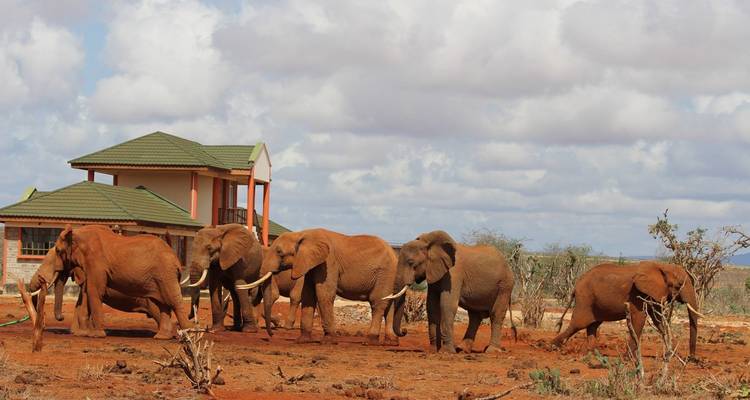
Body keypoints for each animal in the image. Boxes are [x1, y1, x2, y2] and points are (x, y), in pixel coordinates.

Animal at [39, 224, 191, 339]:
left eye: (58, 251)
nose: (61, 317)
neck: (78, 233)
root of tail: (175, 256)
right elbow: (88, 292)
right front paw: (83, 334)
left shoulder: (96, 263)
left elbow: (94, 291)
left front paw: (96, 336)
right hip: (159, 277)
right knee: (163, 304)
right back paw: (161, 337)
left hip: (166, 273)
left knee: (174, 302)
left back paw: (188, 335)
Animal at [239, 229, 401, 345]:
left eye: (279, 252)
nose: (271, 335)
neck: (302, 234)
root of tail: (394, 253)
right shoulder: (310, 264)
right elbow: (308, 295)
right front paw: (302, 341)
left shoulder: (328, 263)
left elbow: (323, 294)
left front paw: (328, 340)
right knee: (389, 304)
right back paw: (391, 342)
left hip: (385, 273)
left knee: (378, 302)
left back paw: (370, 341)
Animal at [551, 261, 702, 358]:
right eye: (679, 285)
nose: (692, 358)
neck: (663, 266)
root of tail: (576, 285)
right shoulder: (637, 294)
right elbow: (639, 319)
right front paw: (629, 357)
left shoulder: (654, 293)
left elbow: (659, 320)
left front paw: (673, 354)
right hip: (585, 299)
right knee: (578, 324)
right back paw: (553, 347)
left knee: (592, 325)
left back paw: (591, 354)